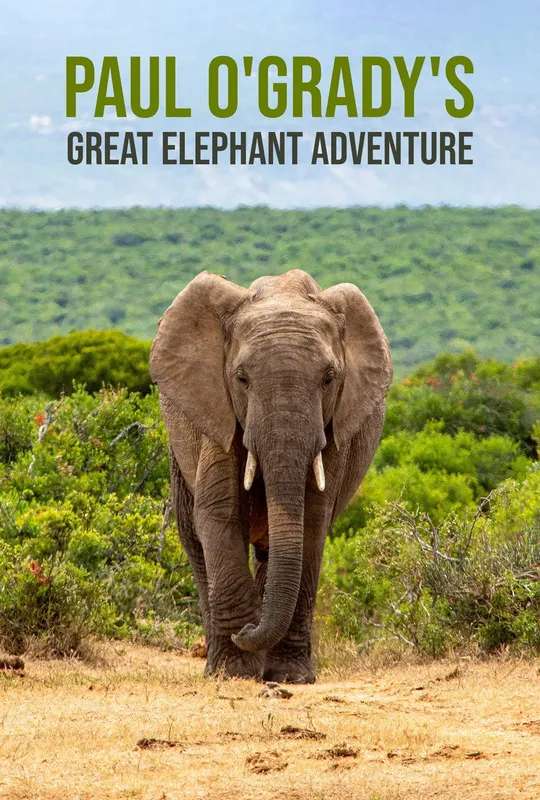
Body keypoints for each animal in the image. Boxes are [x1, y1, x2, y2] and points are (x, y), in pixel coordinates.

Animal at [150, 269, 392, 683]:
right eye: (241, 378)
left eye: (329, 378)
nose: (248, 629)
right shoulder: (219, 415)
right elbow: (220, 514)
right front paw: (235, 670)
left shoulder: (334, 432)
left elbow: (311, 522)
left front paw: (290, 676)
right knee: (193, 536)